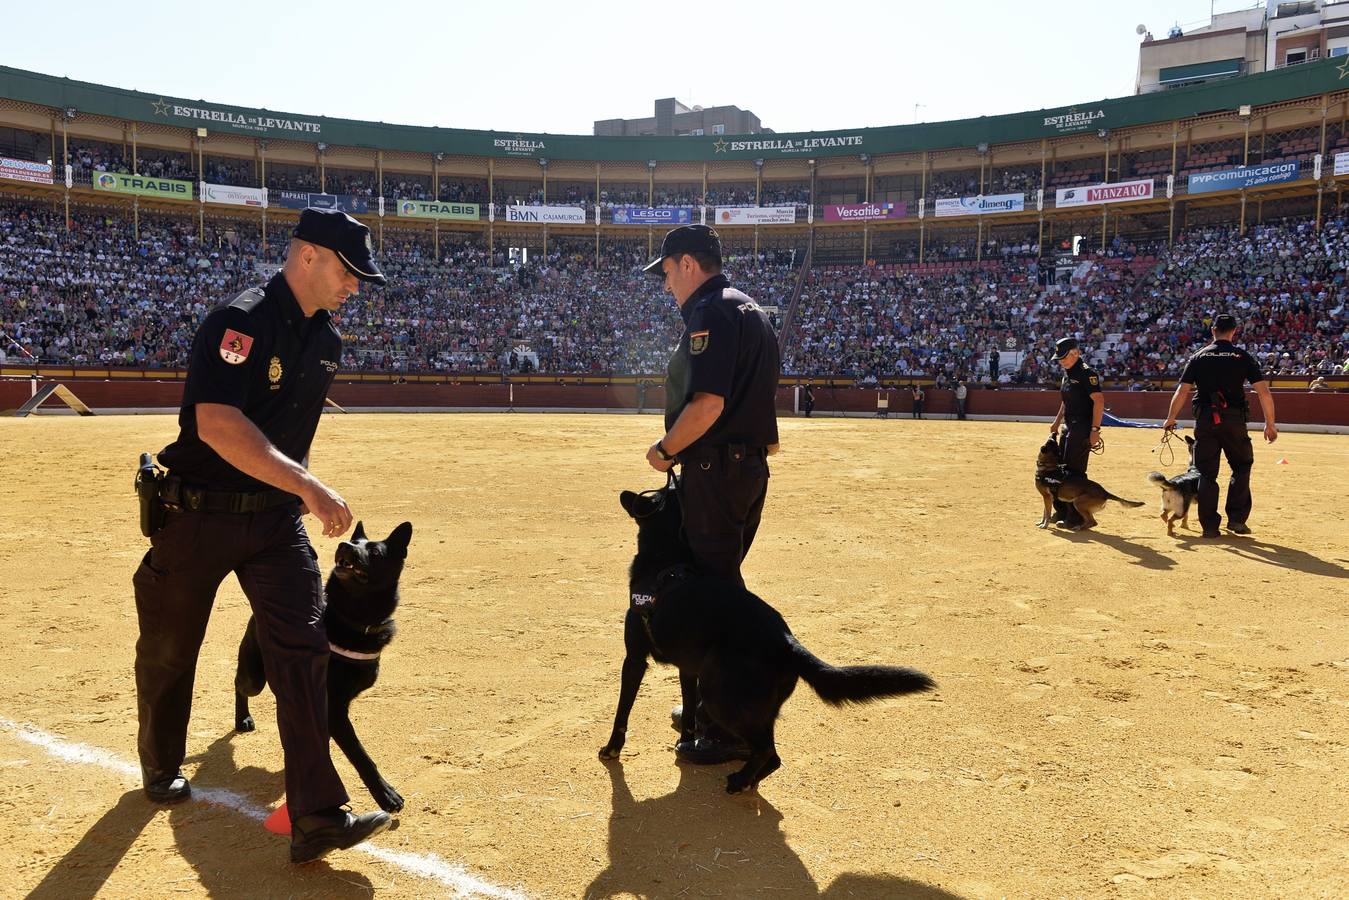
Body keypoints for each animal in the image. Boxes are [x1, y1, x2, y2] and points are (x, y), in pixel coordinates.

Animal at [234, 520, 410, 809]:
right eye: (355, 542)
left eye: (374, 551)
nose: (344, 545)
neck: (353, 618)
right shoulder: (335, 709)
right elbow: (361, 755)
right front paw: (385, 793)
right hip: (254, 677)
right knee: (238, 684)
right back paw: (242, 718)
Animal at [604, 483, 938, 793]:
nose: (674, 475)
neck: (666, 557)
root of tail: (787, 642)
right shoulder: (687, 668)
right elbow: (687, 713)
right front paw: (686, 740)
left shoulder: (634, 660)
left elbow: (622, 711)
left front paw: (611, 749)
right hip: (754, 704)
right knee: (773, 754)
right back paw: (748, 779)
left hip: (719, 694)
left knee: (764, 749)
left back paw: (740, 780)